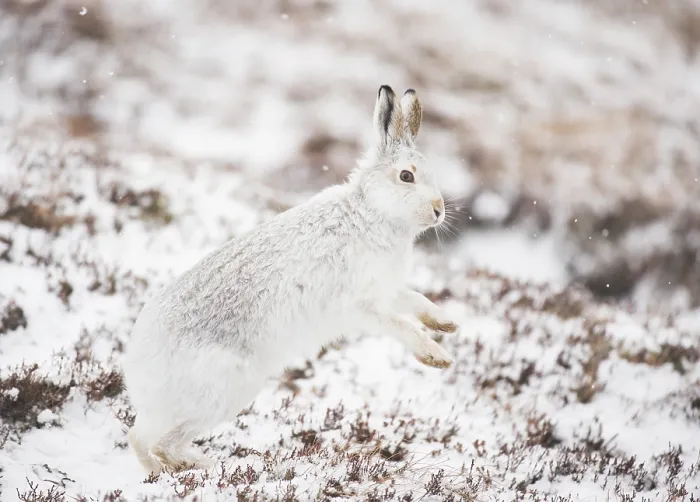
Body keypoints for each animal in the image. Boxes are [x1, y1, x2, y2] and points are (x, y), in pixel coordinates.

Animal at [121, 85, 460, 476]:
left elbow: (416, 300)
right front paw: (437, 356)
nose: (439, 211)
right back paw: (185, 470)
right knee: (151, 440)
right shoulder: (361, 305)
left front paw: (448, 323)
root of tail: (135, 370)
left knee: (158, 440)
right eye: (406, 176)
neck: (372, 213)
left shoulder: (387, 290)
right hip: (222, 390)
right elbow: (402, 326)